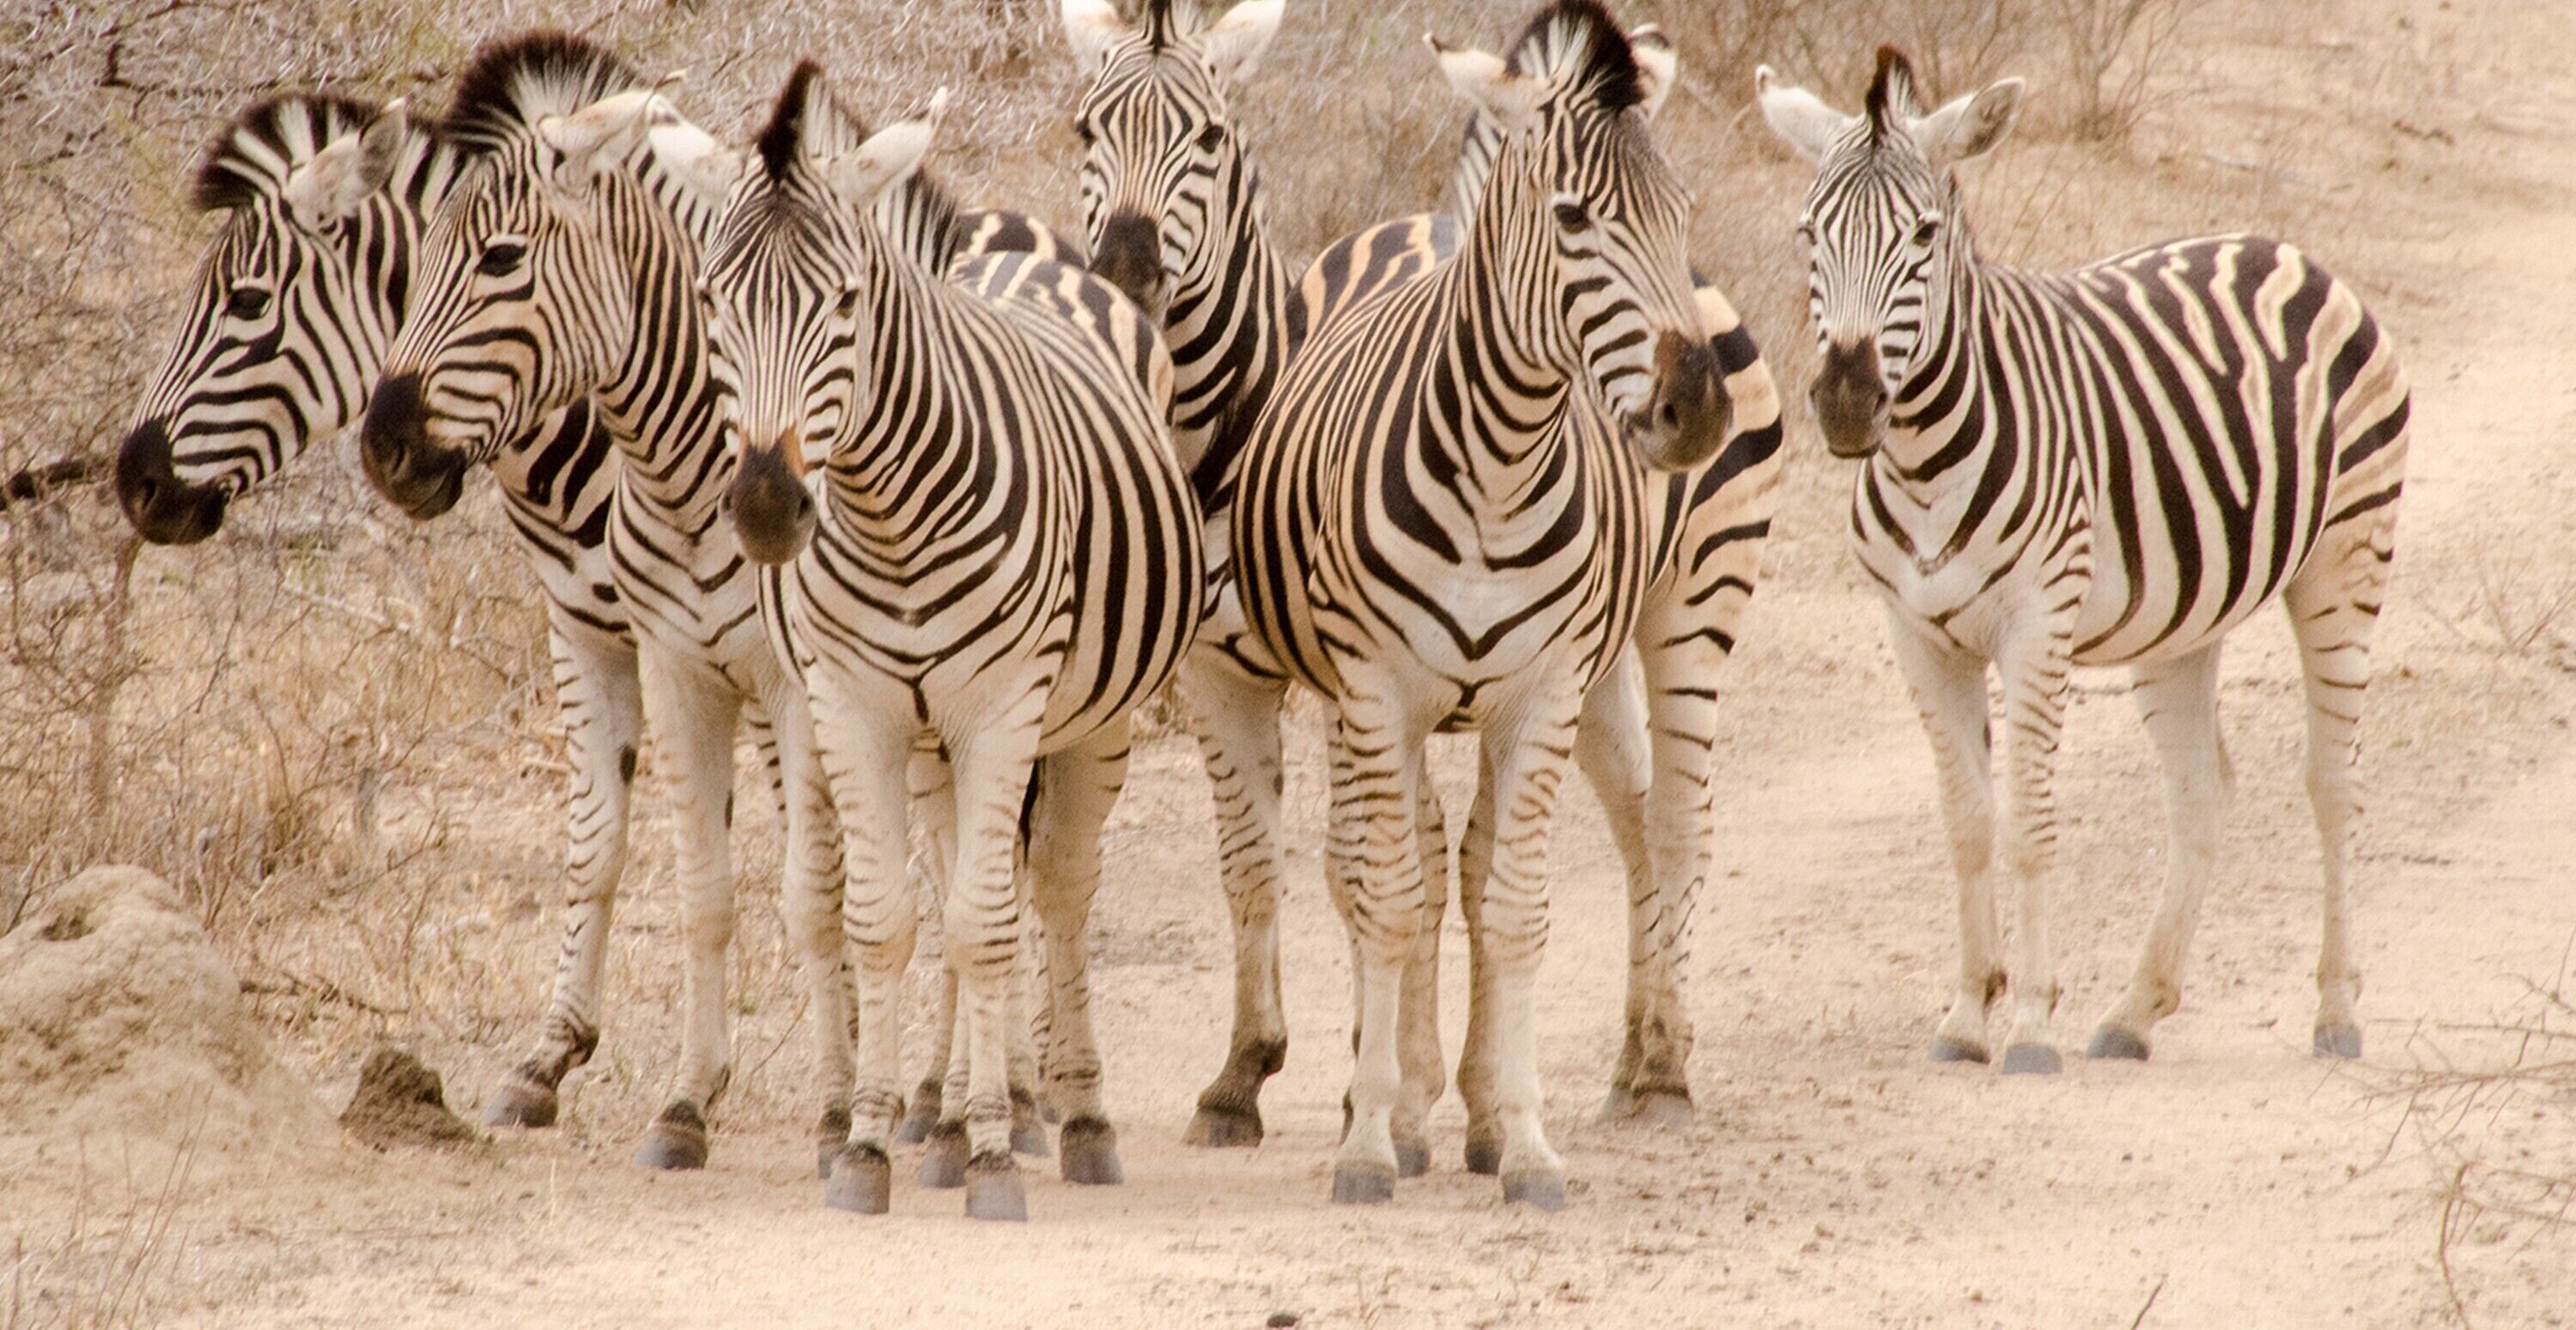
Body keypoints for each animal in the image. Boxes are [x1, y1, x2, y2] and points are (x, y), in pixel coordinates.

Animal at [700, 64, 1200, 1221]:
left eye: (844, 302)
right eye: (710, 301)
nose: (766, 507)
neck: (889, 513)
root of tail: (1031, 256)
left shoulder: (1003, 706)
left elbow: (985, 925)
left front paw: (992, 1161)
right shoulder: (856, 707)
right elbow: (891, 919)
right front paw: (872, 1145)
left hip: (1090, 721)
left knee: (1054, 893)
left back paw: (1069, 1116)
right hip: (936, 746)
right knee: (969, 879)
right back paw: (955, 1110)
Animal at [1060, 0, 1781, 1159]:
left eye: (1210, 139)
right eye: (1087, 130)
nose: (1126, 270)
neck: (1229, 427)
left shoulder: (1353, 681)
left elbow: (1387, 865)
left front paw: (1395, 1089)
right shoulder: (1244, 675)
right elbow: (1279, 864)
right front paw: (1259, 1076)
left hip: (1696, 598)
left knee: (1676, 821)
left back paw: (1663, 1064)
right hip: (1593, 652)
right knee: (1623, 814)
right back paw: (1624, 1057)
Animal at [1756, 49, 2409, 1070]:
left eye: (1924, 235)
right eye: (1809, 232)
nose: (1848, 401)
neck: (1923, 463)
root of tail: (2283, 250)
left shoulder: (2036, 624)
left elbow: (2027, 824)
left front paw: (2027, 1023)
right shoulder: (1915, 633)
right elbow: (1967, 825)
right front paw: (1964, 1017)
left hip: (2346, 557)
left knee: (2333, 781)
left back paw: (2336, 1012)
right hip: (2184, 616)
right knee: (2201, 792)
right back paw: (2134, 1010)